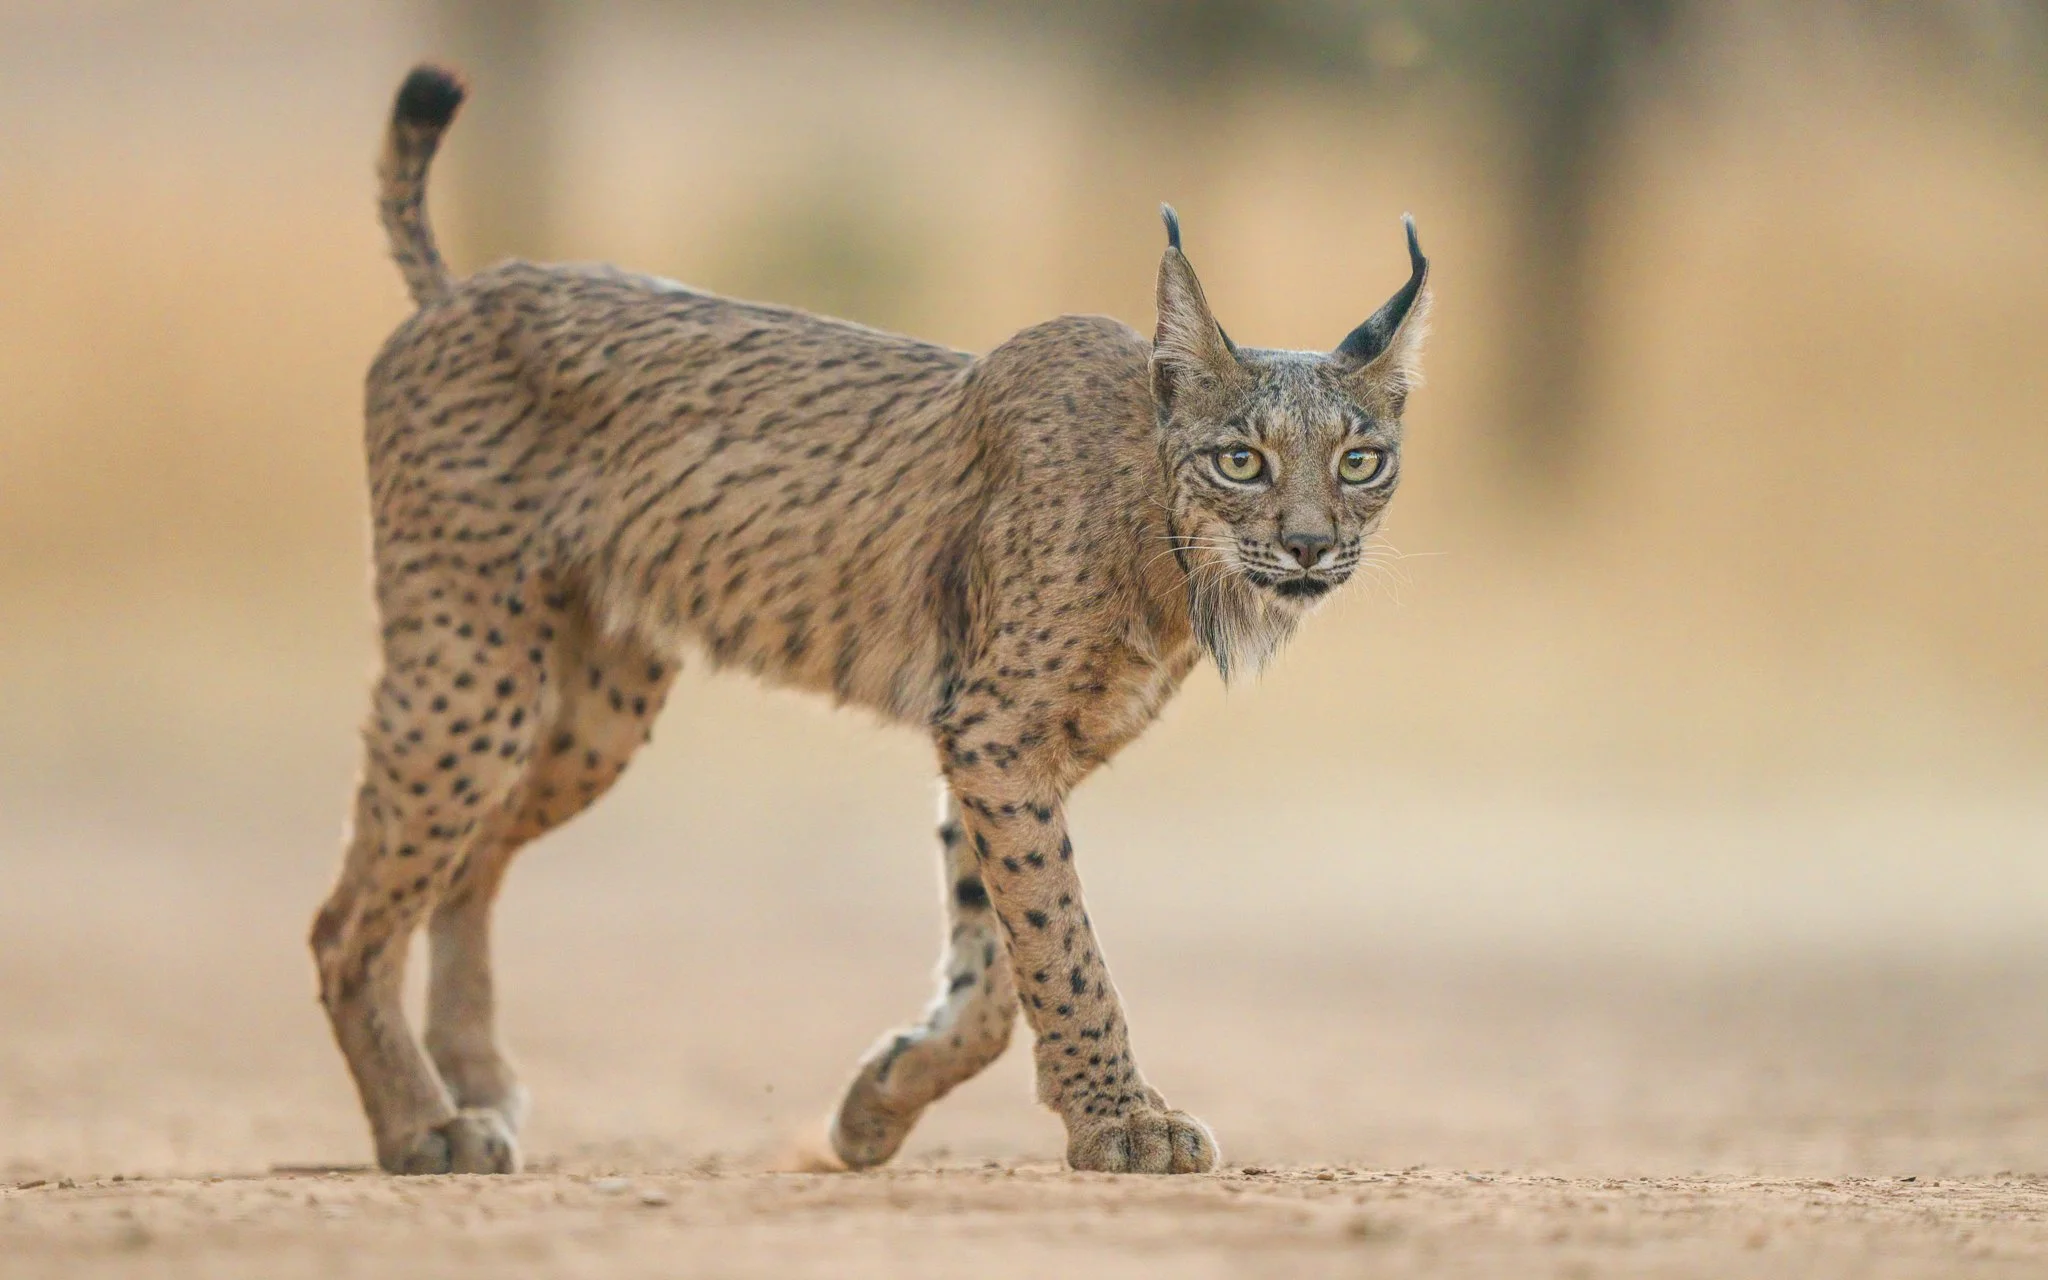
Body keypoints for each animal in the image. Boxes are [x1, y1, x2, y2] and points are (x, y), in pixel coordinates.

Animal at [310, 64, 1431, 1177]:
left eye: (1359, 461)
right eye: (1240, 460)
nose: (1308, 547)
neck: (1169, 545)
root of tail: (467, 288)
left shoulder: (1006, 739)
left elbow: (998, 962)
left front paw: (877, 1102)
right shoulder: (995, 728)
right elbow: (1060, 938)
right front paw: (1120, 1121)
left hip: (590, 711)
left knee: (468, 866)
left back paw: (476, 1083)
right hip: (472, 670)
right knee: (343, 919)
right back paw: (423, 1124)